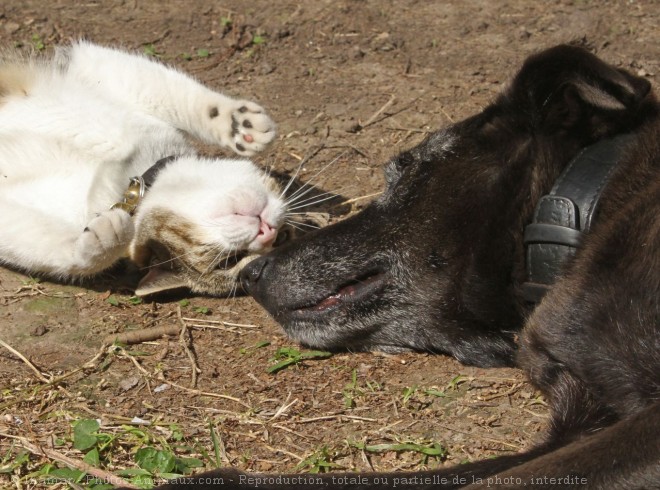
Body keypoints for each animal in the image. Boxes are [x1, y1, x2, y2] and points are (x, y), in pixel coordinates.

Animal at [1, 41, 288, 294]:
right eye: (230, 261)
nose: (267, 232)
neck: (125, 177)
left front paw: (103, 243)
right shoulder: (96, 68)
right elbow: (174, 92)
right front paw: (240, 123)